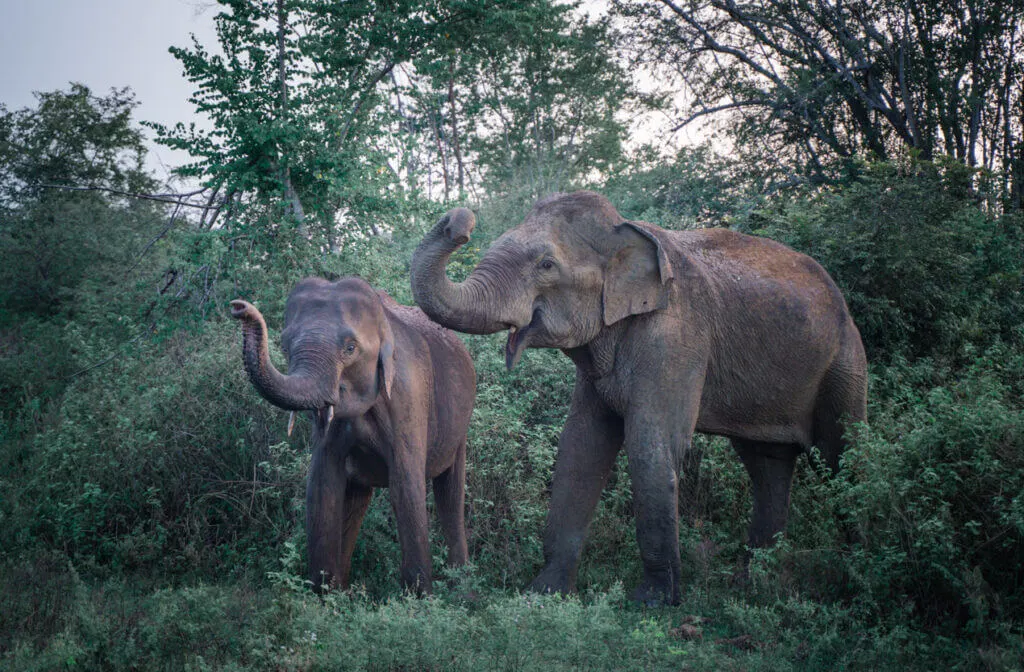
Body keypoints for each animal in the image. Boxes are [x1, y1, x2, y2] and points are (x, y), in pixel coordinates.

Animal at [231, 276, 476, 593]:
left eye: (350, 348)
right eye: (284, 347)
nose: (238, 307)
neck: (383, 323)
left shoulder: (409, 397)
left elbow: (405, 486)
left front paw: (419, 598)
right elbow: (323, 486)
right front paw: (324, 595)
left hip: (460, 428)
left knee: (450, 495)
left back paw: (463, 587)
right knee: (357, 500)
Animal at [410, 191, 867, 605]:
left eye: (546, 265)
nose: (459, 222)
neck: (624, 234)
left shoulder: (677, 334)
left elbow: (650, 443)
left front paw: (652, 603)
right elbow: (581, 445)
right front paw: (543, 595)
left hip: (844, 361)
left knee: (842, 455)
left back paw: (853, 580)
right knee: (768, 465)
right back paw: (752, 587)